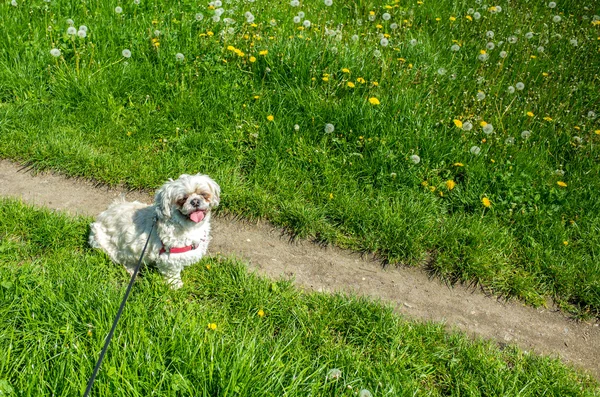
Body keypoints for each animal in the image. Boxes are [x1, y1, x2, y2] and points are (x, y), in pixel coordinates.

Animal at [89, 173, 220, 288]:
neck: (187, 227)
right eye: (182, 199)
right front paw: (176, 285)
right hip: (109, 248)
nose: (195, 201)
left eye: (203, 194)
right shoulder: (169, 259)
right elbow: (172, 274)